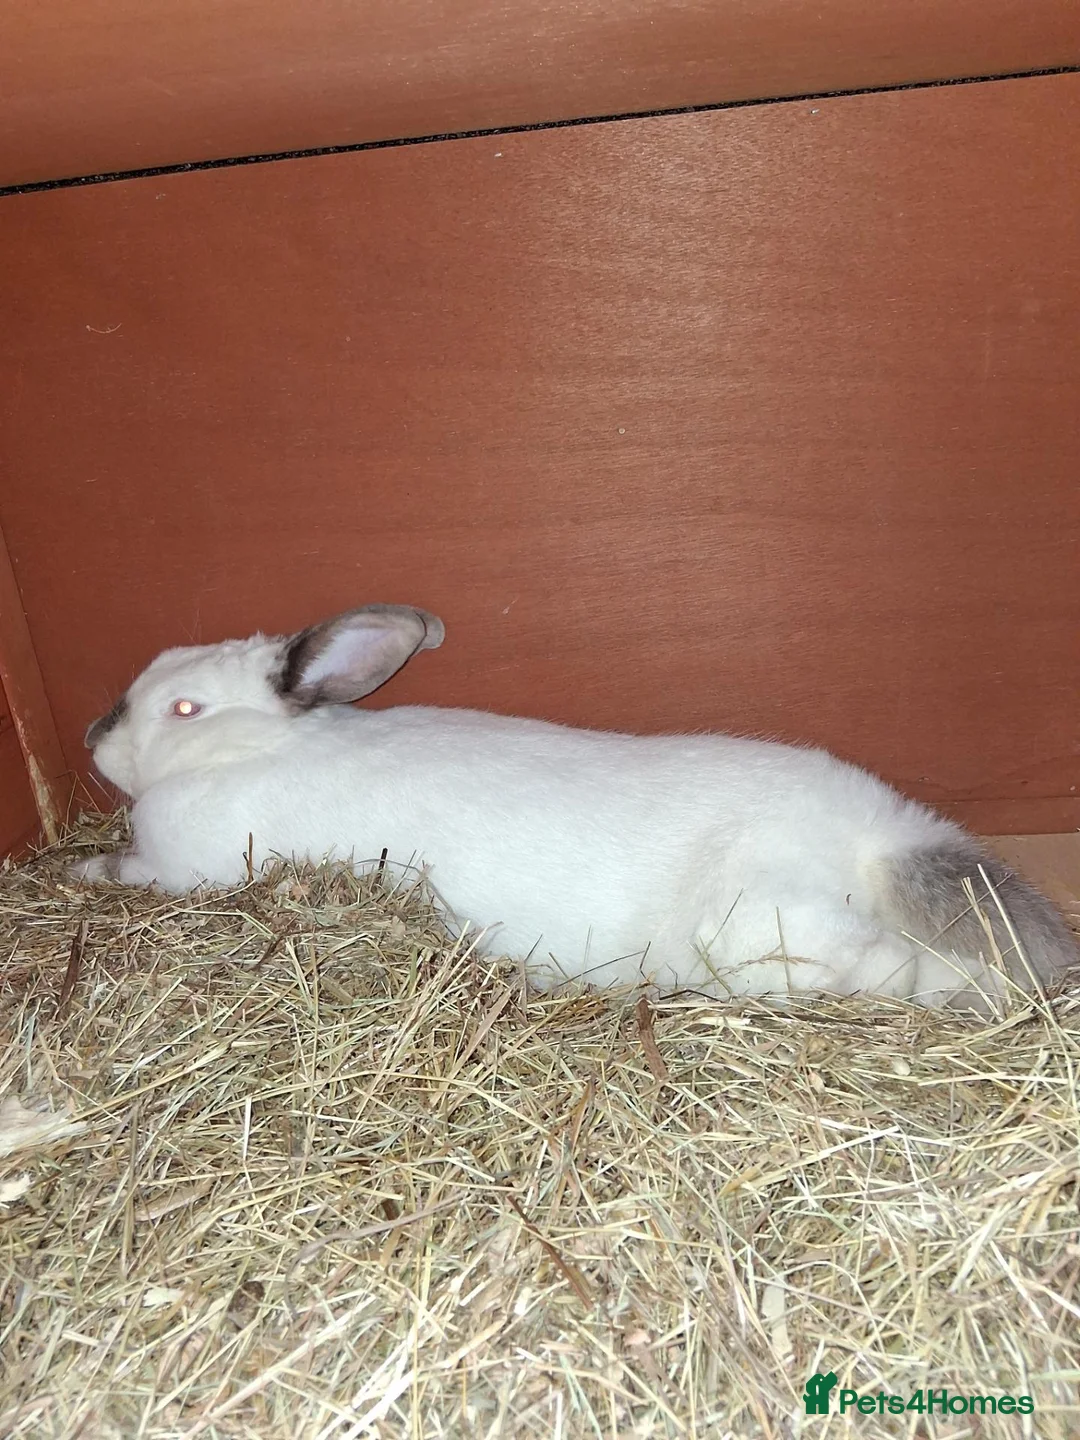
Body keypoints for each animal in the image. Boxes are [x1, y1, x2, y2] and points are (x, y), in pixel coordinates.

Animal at [70, 603, 1077, 1011]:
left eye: (184, 707)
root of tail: (881, 841)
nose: (91, 738)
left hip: (765, 933)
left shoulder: (180, 864)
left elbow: (129, 871)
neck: (256, 748)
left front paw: (82, 867)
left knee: (881, 970)